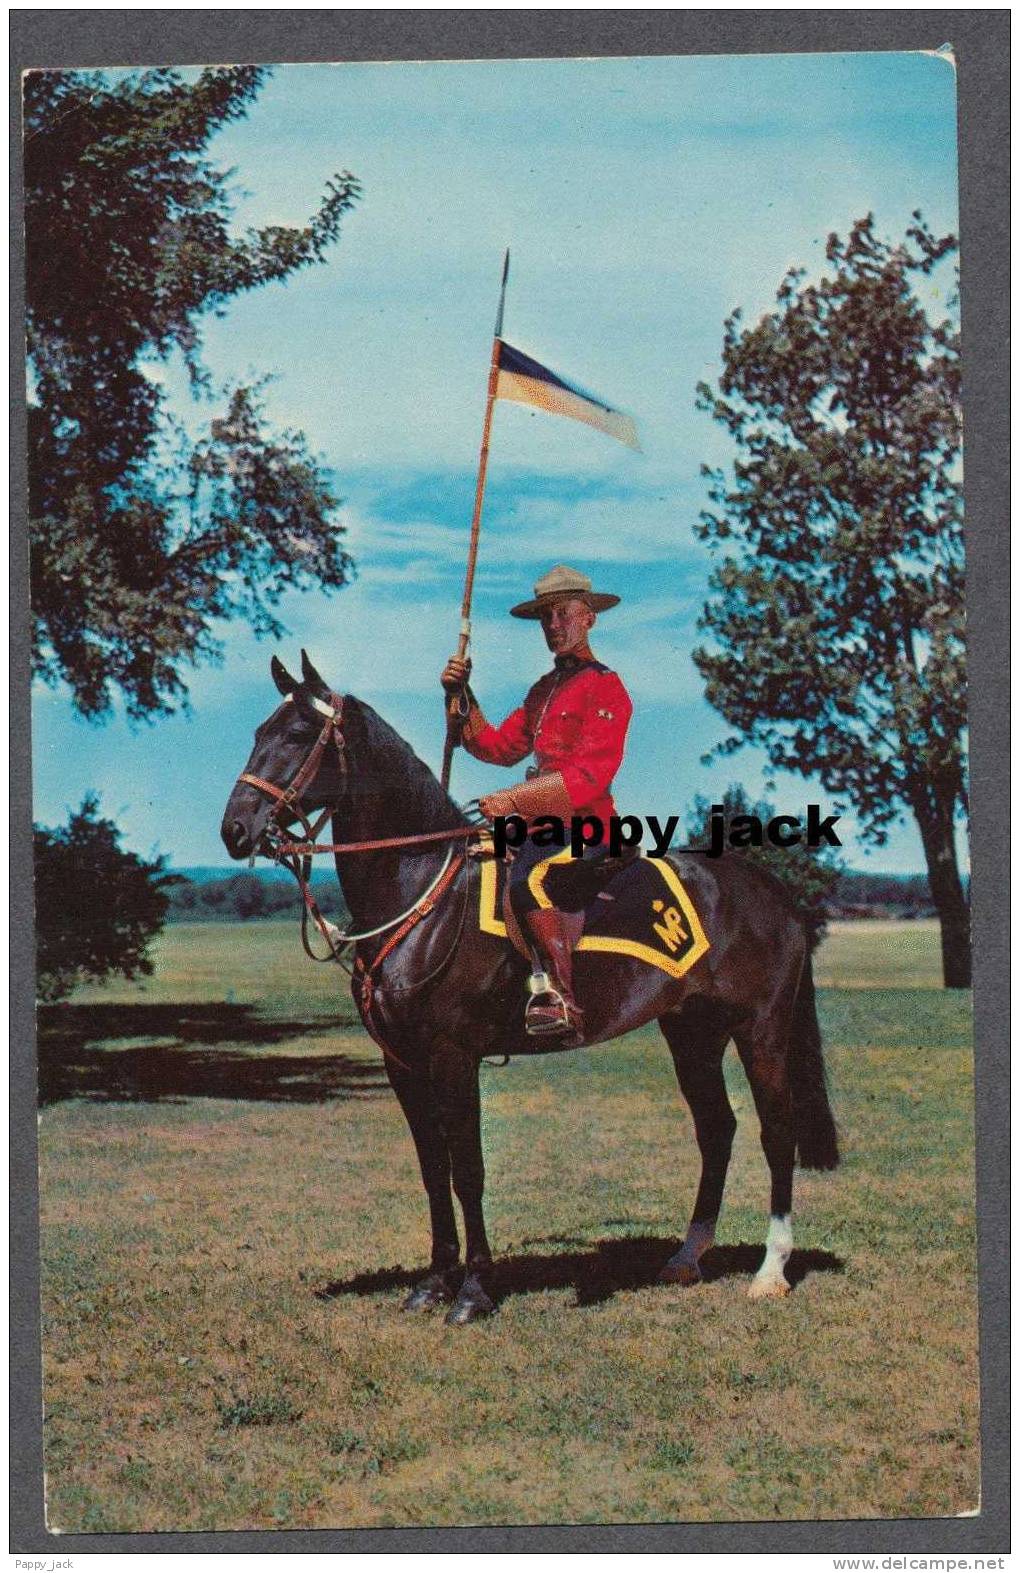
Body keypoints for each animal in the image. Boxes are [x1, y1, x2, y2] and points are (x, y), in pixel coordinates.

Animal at [218, 651, 831, 1327]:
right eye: (258, 732)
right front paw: (433, 1283)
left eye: (299, 734)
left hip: (761, 1031)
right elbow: (432, 1170)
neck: (422, 894)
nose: (236, 829)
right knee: (716, 1129)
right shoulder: (402, 1062)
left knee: (777, 1132)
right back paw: (686, 1258)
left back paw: (771, 1271)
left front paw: (473, 1292)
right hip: (692, 1032)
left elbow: (468, 1171)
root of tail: (774, 892)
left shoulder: (453, 1056)